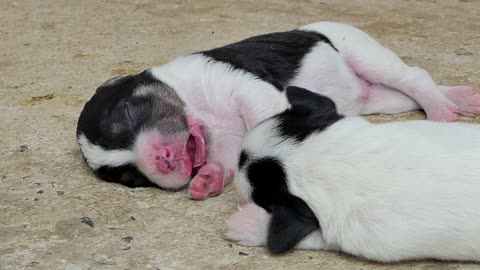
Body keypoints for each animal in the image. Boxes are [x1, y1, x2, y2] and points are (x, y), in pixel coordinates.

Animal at [75, 21, 480, 199]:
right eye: (130, 176)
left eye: (129, 111)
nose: (160, 159)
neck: (203, 112)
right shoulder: (224, 141)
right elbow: (224, 160)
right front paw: (209, 179)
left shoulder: (245, 86)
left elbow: (265, 115)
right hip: (380, 98)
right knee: (409, 93)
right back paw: (458, 99)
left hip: (364, 51)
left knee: (414, 76)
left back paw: (442, 109)